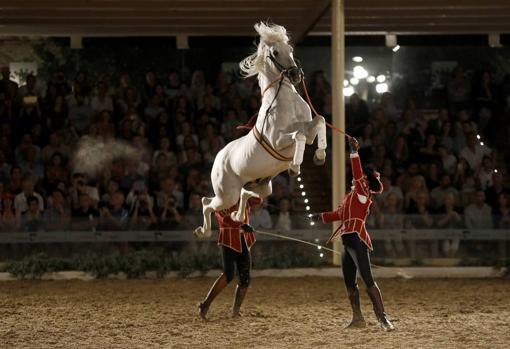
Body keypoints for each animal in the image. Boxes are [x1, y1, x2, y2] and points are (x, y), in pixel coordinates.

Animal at [193, 22, 328, 237]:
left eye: (290, 50)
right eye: (275, 52)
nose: (295, 75)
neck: (286, 103)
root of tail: (219, 157)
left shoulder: (308, 131)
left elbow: (320, 121)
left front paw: (319, 156)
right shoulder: (278, 140)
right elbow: (298, 135)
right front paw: (294, 167)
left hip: (262, 186)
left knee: (245, 193)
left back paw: (237, 217)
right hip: (226, 194)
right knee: (208, 203)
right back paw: (203, 231)